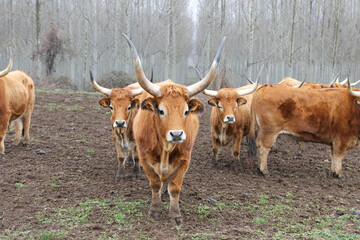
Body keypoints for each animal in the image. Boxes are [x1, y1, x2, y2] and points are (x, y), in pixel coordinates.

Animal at [124, 33, 225, 225]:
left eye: (186, 111)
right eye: (161, 110)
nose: (177, 134)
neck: (165, 148)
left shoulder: (185, 159)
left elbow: (174, 187)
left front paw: (175, 214)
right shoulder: (144, 157)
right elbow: (155, 183)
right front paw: (155, 210)